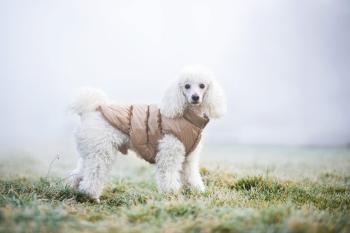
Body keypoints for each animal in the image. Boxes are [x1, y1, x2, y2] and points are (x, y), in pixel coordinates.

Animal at [70, 66, 227, 201]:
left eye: (202, 86)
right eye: (187, 86)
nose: (195, 97)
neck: (187, 116)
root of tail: (91, 110)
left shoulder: (189, 157)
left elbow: (191, 176)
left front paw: (197, 191)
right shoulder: (169, 151)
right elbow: (168, 174)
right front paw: (170, 193)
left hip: (91, 150)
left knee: (79, 172)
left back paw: (77, 192)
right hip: (101, 151)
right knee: (94, 173)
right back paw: (91, 195)